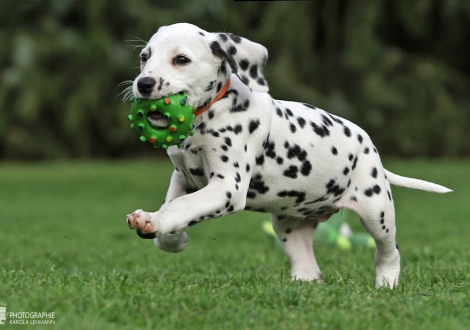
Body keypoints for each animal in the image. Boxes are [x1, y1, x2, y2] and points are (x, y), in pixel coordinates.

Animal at [126, 22, 452, 286]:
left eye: (181, 60)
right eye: (145, 57)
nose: (143, 84)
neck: (206, 117)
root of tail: (370, 148)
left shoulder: (226, 187)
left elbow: (182, 206)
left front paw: (156, 222)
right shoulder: (183, 178)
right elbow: (175, 206)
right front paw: (170, 236)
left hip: (377, 212)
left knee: (388, 250)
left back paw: (386, 283)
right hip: (289, 226)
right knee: (308, 267)